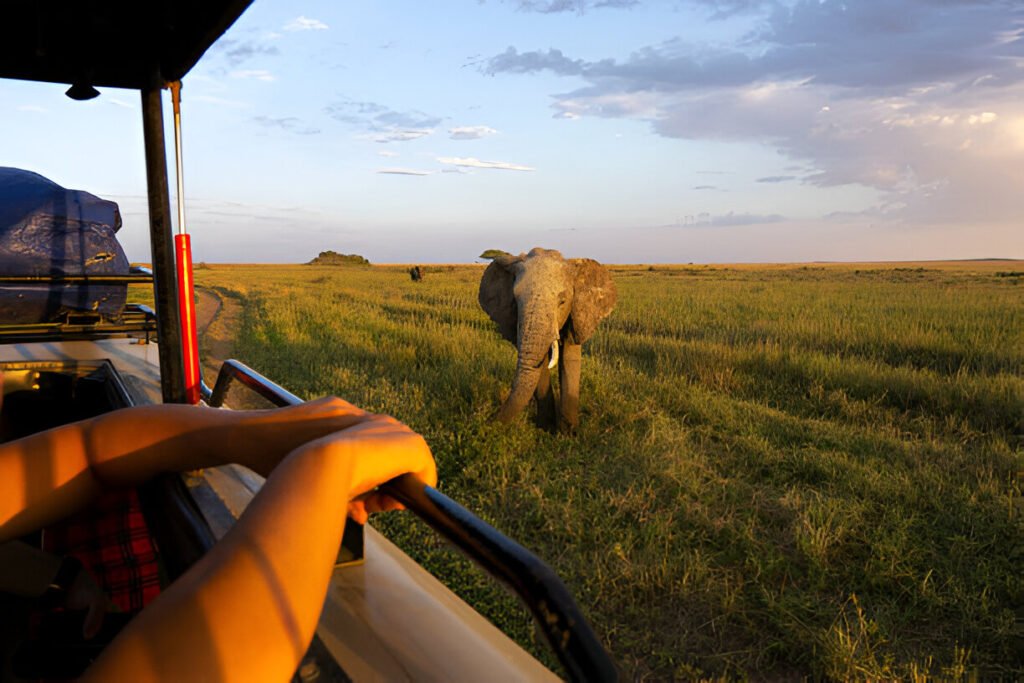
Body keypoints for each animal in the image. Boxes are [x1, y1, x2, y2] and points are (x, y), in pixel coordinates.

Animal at [477, 248, 614, 432]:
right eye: (515, 301)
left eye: (562, 301)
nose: (487, 422)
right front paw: (545, 429)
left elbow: (569, 358)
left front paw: (568, 432)